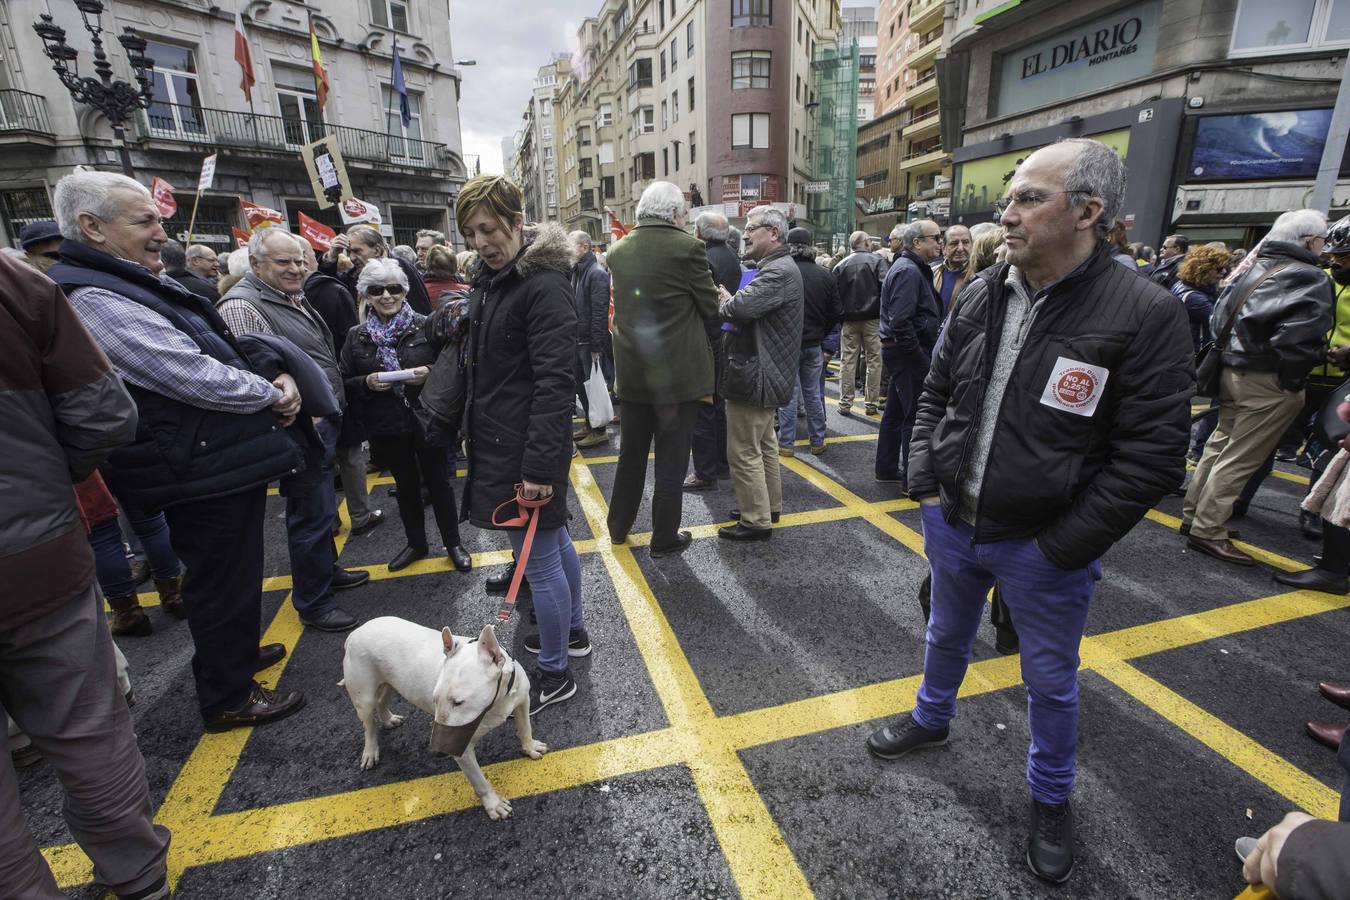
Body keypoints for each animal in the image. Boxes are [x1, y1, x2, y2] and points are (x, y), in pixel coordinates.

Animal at [340, 623, 545, 820]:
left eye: (458, 702)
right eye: (435, 698)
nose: (438, 751)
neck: (498, 701)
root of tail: (355, 633)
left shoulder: (522, 700)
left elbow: (525, 727)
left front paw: (530, 747)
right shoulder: (462, 748)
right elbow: (479, 780)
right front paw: (494, 805)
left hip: (391, 681)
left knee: (382, 700)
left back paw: (389, 719)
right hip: (364, 698)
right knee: (369, 725)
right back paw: (370, 752)